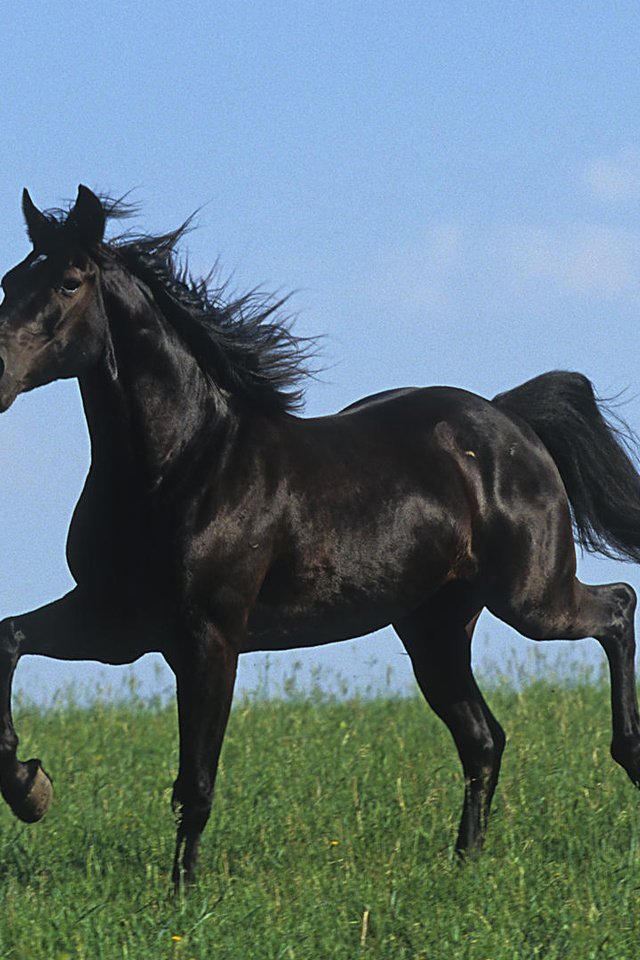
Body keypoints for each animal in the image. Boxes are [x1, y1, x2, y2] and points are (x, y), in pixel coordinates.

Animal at [0, 188, 640, 884]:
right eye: (10, 280)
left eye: (67, 282)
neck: (180, 465)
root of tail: (510, 418)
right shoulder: (117, 623)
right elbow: (11, 638)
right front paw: (29, 787)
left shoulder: (208, 636)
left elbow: (195, 780)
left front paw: (182, 893)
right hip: (435, 626)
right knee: (483, 739)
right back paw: (465, 864)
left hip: (530, 598)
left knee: (616, 608)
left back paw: (629, 755)